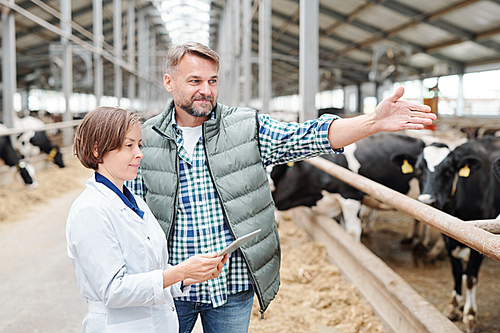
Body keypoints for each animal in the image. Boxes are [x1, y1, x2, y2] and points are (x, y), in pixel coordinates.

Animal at [414, 136, 500, 330]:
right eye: (418, 169)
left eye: (449, 170)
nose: (427, 202)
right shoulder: (448, 233)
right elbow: (456, 270)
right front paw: (454, 305)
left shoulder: (482, 240)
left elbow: (470, 277)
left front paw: (470, 313)